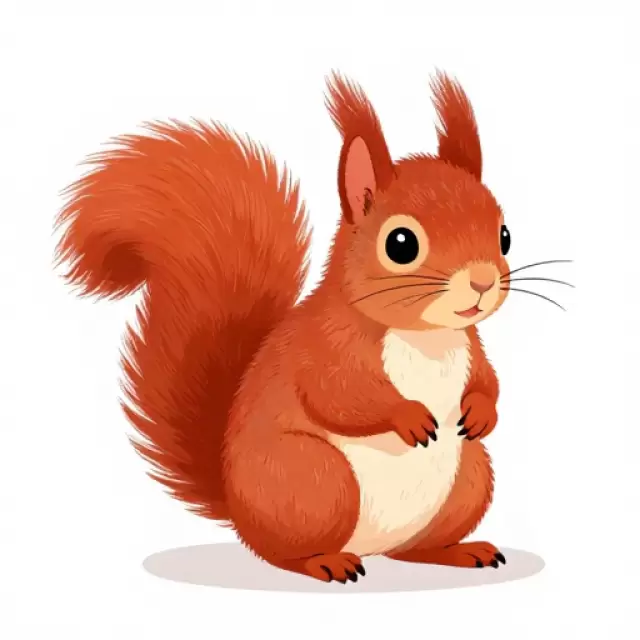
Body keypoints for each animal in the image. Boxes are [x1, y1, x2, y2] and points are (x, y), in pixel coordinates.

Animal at [55, 71, 512, 584]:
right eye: (400, 244)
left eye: (504, 235)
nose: (482, 282)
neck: (425, 337)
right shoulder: (328, 345)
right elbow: (340, 394)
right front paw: (407, 416)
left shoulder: (472, 346)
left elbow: (487, 381)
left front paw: (482, 412)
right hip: (311, 477)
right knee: (280, 553)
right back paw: (325, 562)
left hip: (469, 475)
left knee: (415, 547)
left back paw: (459, 551)